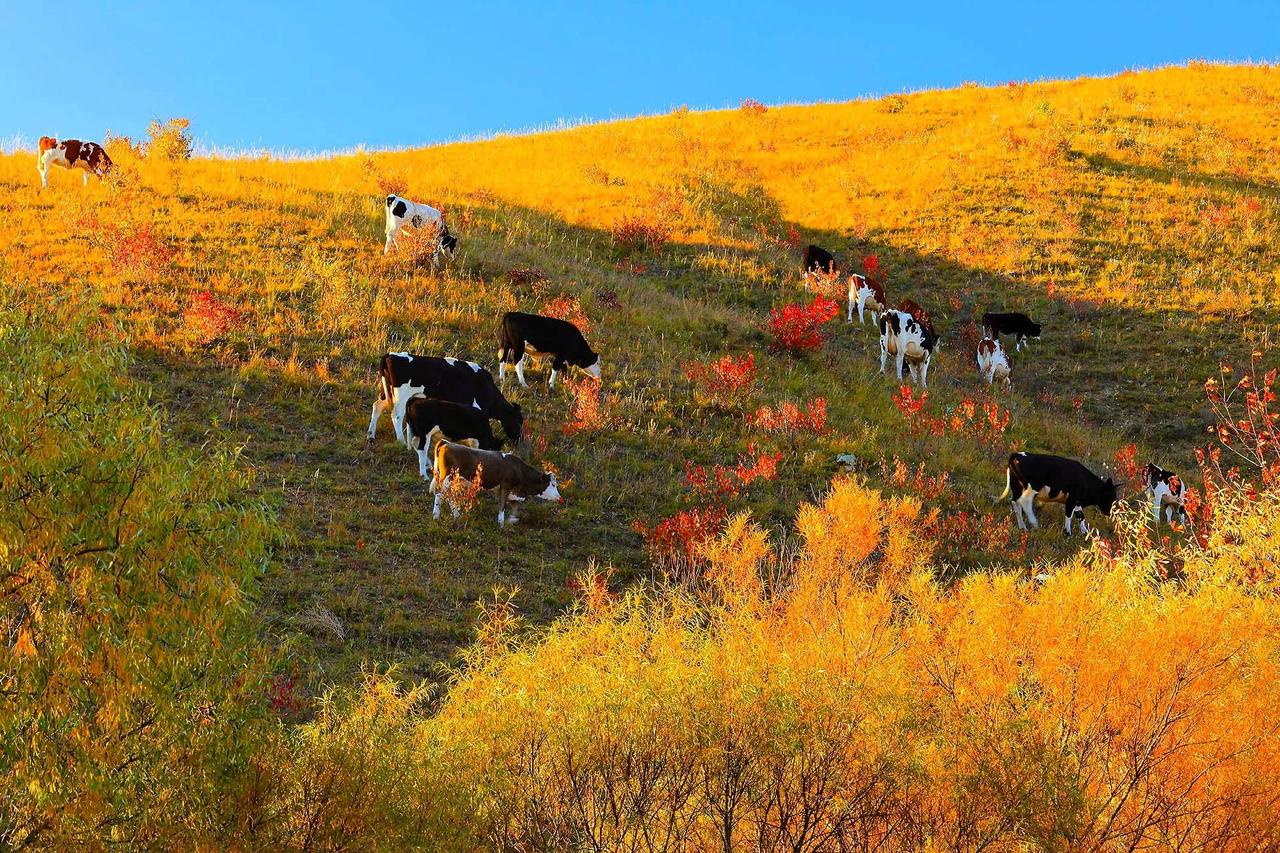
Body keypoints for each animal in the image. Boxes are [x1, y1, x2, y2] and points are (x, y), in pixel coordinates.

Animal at [368, 350, 522, 445]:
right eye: (519, 421)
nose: (518, 441)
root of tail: (391, 354)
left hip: (387, 393)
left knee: (377, 406)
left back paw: (370, 436)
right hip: (401, 395)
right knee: (396, 415)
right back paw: (401, 441)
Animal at [430, 438, 560, 525]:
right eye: (553, 484)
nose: (560, 498)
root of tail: (447, 443)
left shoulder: (512, 492)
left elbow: (515, 505)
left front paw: (512, 519)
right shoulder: (505, 486)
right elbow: (502, 505)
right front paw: (501, 523)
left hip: (454, 480)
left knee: (449, 495)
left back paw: (456, 515)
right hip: (447, 477)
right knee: (440, 494)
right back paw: (436, 516)